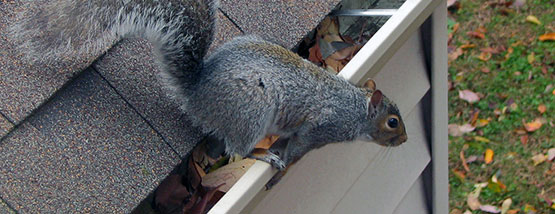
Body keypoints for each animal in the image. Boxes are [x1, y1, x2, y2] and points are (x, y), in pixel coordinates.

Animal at [8, 0, 408, 172]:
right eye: (392, 122)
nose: (405, 141)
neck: (354, 109)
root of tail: (197, 95)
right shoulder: (320, 128)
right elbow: (298, 147)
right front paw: (285, 159)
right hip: (251, 112)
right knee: (237, 151)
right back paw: (263, 155)